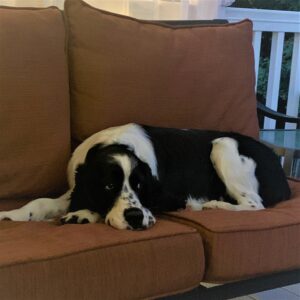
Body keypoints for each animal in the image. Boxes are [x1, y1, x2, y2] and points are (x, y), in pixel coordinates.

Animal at [0, 123, 290, 231]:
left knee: (254, 204)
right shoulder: (75, 184)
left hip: (223, 145)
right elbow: (41, 202)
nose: (135, 217)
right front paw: (12, 214)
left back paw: (215, 204)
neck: (114, 144)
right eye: (109, 186)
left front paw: (82, 214)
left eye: (140, 186)